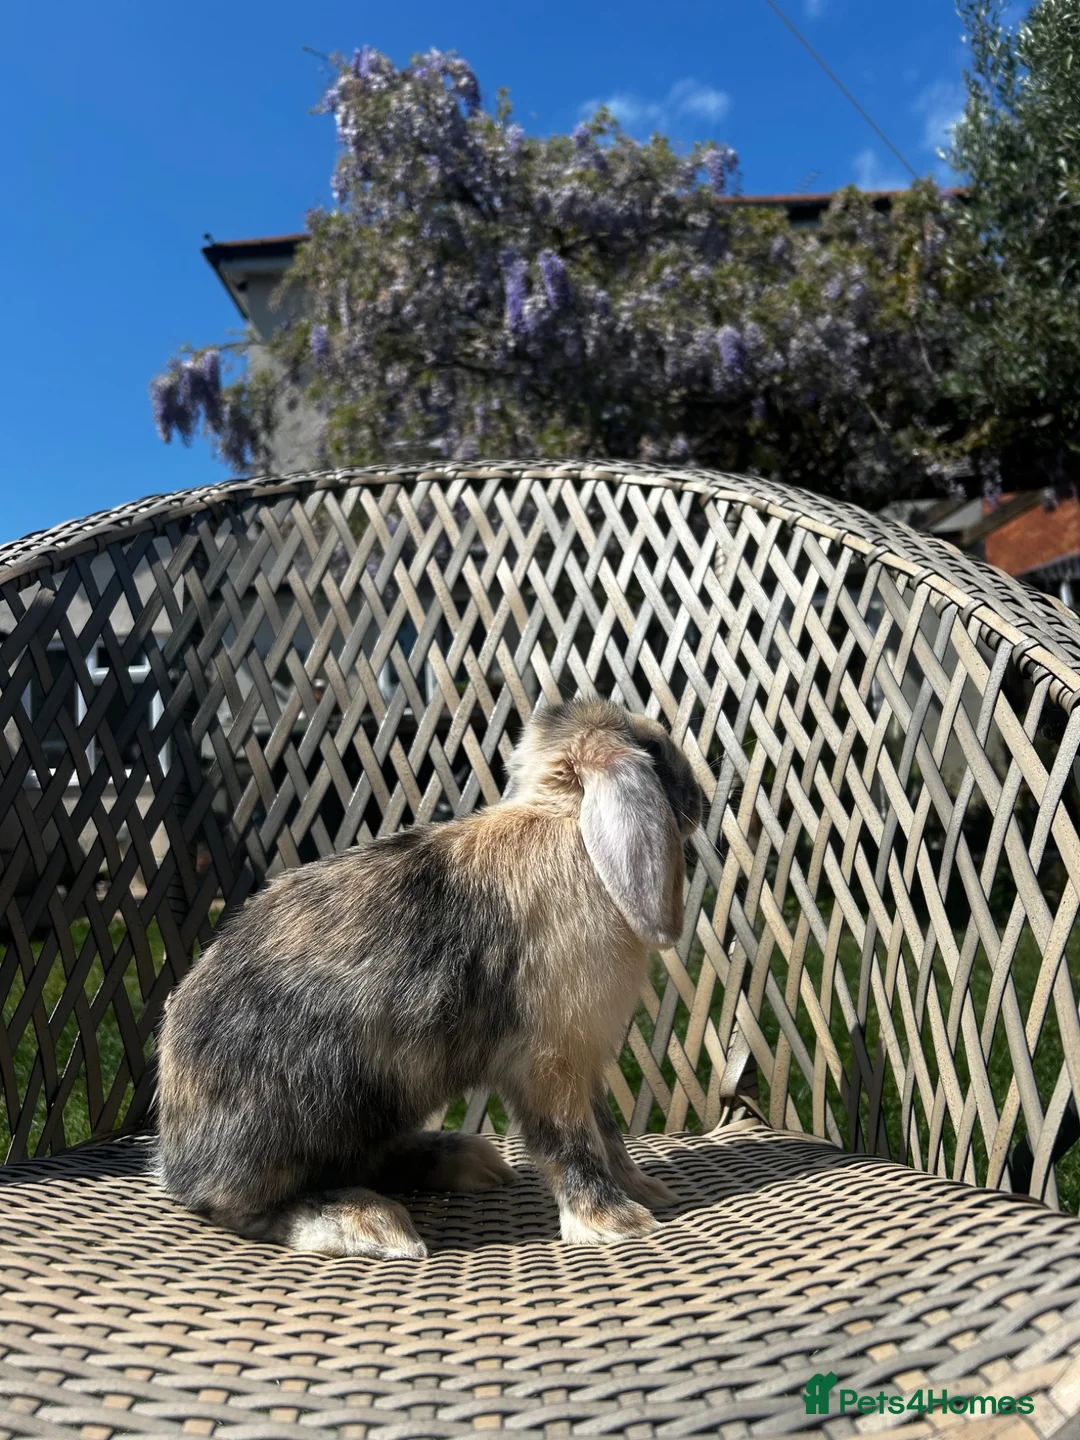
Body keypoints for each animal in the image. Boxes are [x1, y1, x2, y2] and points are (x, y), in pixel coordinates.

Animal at [155, 697, 706, 1257]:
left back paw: (464, 1161)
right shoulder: (552, 1061)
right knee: (244, 1207)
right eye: (654, 749)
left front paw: (647, 1191)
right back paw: (369, 1223)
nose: (702, 800)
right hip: (309, 1113)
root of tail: (179, 1159)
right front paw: (616, 1223)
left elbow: (608, 1132)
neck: (568, 825)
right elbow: (571, 1142)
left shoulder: (585, 1060)